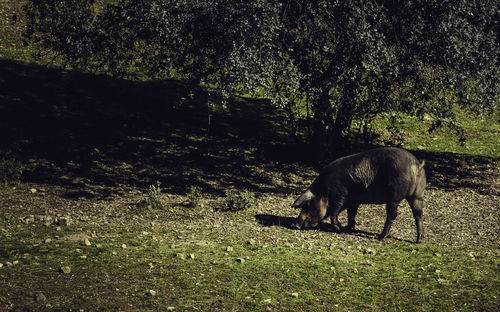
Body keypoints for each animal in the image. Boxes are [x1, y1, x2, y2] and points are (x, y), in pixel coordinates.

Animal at [292, 147, 426, 244]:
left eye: (308, 204)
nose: (296, 225)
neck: (323, 191)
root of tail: (417, 165)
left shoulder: (340, 195)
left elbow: (335, 213)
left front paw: (338, 228)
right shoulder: (353, 201)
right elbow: (351, 214)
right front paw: (348, 228)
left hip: (394, 196)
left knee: (392, 215)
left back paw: (380, 237)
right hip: (417, 195)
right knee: (418, 214)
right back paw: (419, 240)